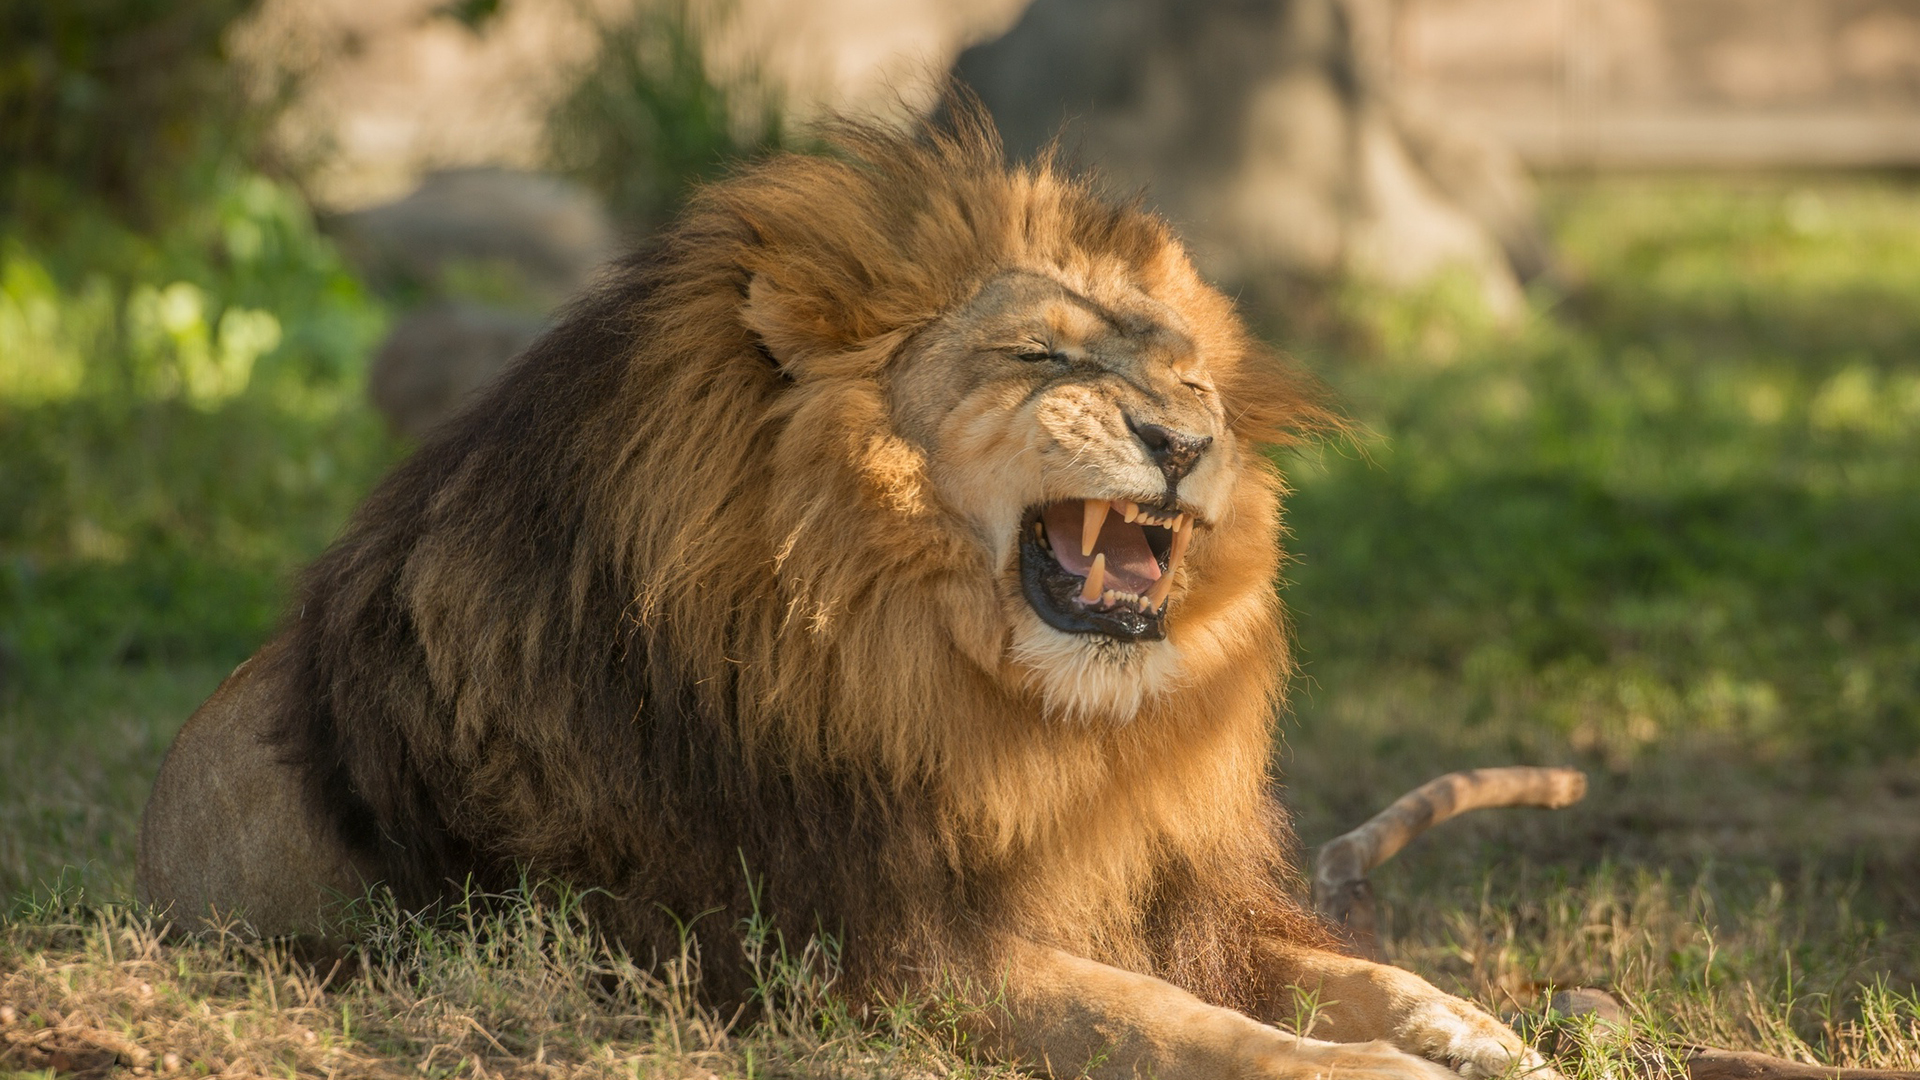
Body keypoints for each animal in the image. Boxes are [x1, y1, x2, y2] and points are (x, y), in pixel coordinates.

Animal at [138, 107, 1557, 1080]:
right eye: (1039, 356)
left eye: (1191, 373)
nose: (1186, 439)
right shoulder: (850, 941)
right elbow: (1157, 1021)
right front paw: (1370, 1069)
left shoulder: (1150, 889)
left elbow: (1340, 966)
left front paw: (1484, 1029)